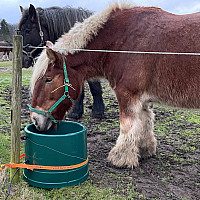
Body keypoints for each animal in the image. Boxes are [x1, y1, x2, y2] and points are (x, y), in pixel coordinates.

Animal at [29, 2, 200, 168]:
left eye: (48, 79)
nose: (35, 120)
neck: (120, 40)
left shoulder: (127, 94)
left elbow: (127, 125)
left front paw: (121, 157)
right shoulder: (142, 99)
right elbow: (145, 120)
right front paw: (144, 150)